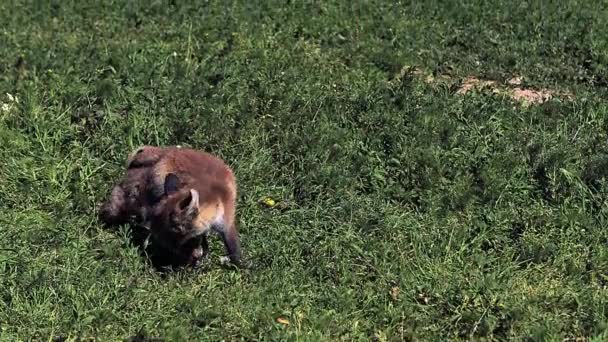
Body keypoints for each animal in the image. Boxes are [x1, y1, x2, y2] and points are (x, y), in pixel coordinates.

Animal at [98, 144, 241, 268]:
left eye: (177, 228)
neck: (215, 196)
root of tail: (167, 149)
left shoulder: (226, 221)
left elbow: (233, 250)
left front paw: (239, 266)